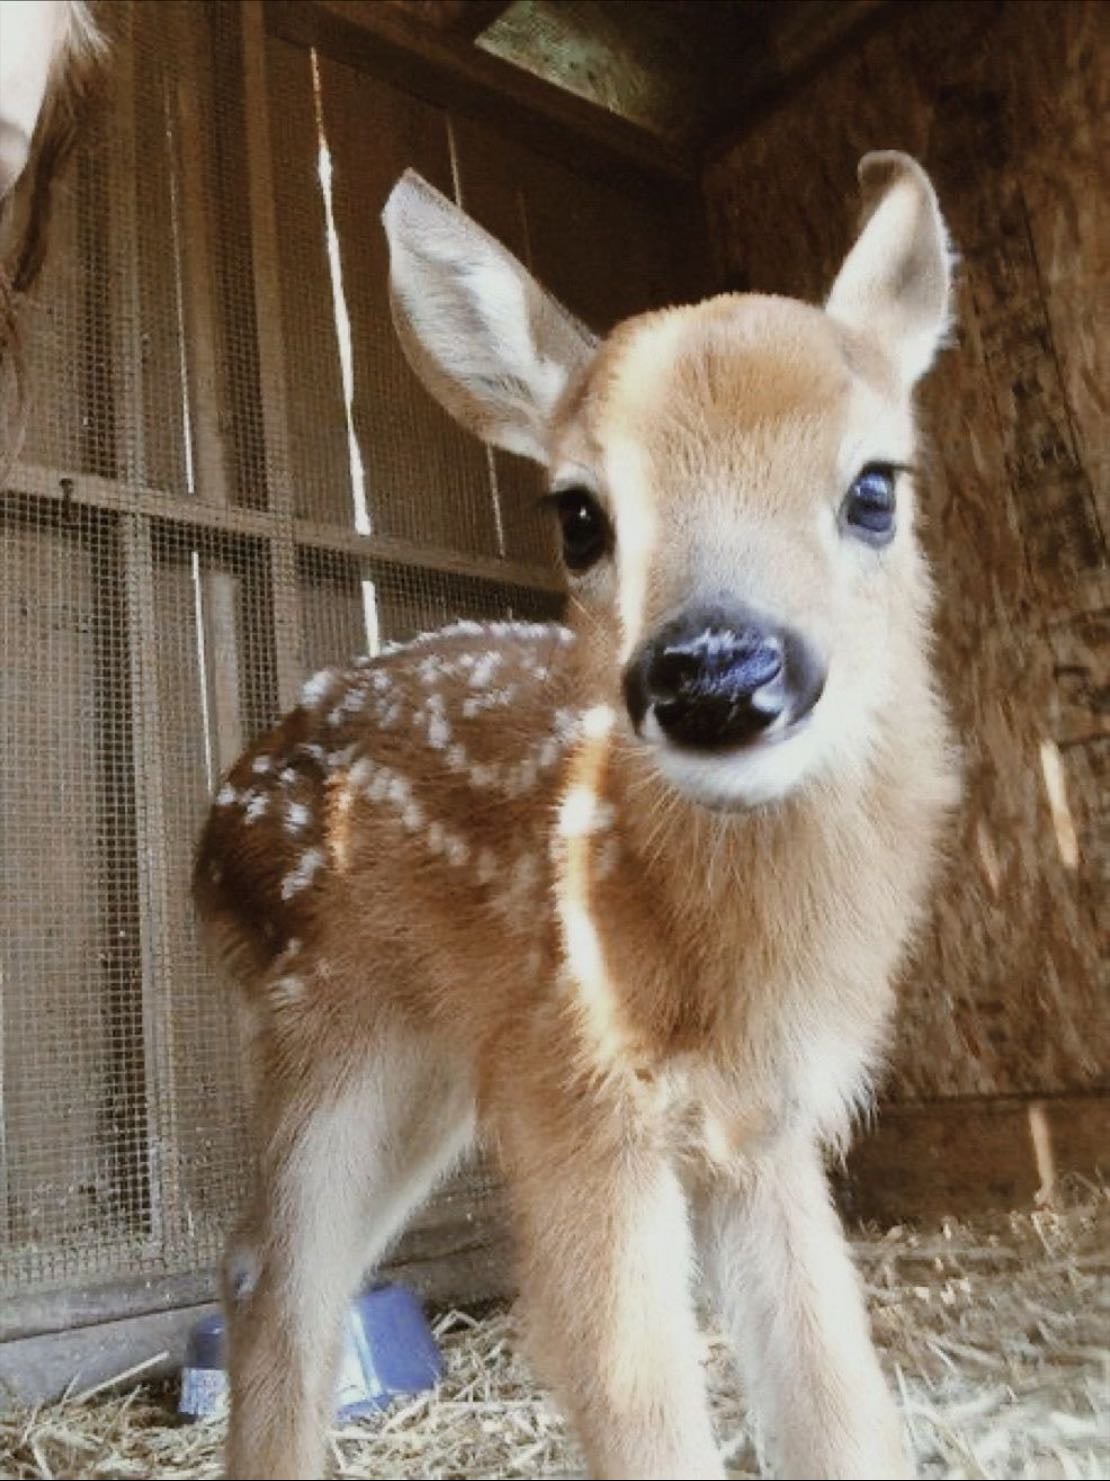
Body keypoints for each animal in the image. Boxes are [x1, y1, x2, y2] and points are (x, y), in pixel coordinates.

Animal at [193, 149, 959, 1481]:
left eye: (875, 488)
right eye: (580, 515)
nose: (713, 672)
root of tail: (209, 831)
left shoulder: (766, 1122)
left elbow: (838, 1396)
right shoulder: (576, 1091)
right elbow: (640, 1407)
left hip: (434, 1071)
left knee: (294, 1268)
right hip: (331, 1029)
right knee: (272, 1273)